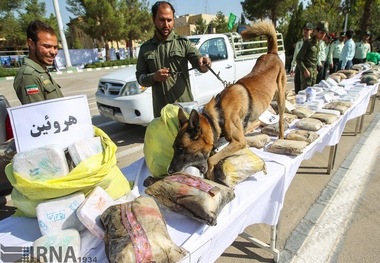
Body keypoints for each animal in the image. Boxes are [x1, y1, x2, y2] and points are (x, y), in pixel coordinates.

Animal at [168, 21, 284, 182]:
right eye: (173, 148)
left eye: (180, 148)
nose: (169, 171)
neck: (218, 114)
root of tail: (271, 54)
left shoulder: (238, 141)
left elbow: (211, 160)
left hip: (281, 97)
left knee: (281, 120)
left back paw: (281, 136)